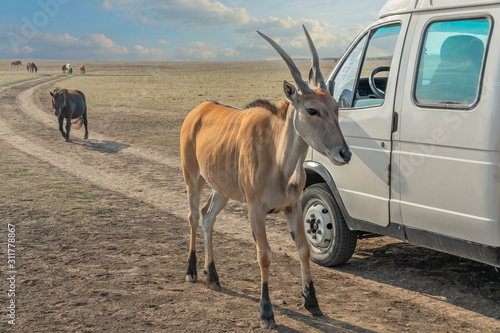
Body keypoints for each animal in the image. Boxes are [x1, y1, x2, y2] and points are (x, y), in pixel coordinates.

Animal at [181, 25, 352, 326]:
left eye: (336, 106)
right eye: (311, 109)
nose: (344, 153)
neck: (279, 162)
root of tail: (197, 111)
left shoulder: (293, 206)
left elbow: (303, 250)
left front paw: (312, 302)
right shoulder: (255, 208)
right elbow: (264, 255)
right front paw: (266, 311)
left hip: (221, 191)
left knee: (207, 216)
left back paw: (213, 276)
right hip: (193, 178)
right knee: (192, 216)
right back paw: (191, 272)